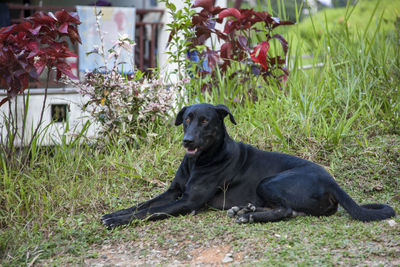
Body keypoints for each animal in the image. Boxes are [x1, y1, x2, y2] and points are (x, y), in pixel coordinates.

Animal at [101, 102, 396, 228]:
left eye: (205, 121)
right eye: (187, 119)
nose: (187, 141)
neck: (200, 160)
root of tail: (332, 181)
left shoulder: (187, 201)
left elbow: (149, 212)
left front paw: (118, 221)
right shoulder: (174, 191)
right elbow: (142, 205)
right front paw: (115, 214)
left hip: (270, 181)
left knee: (286, 210)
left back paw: (249, 215)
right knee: (289, 210)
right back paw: (246, 209)